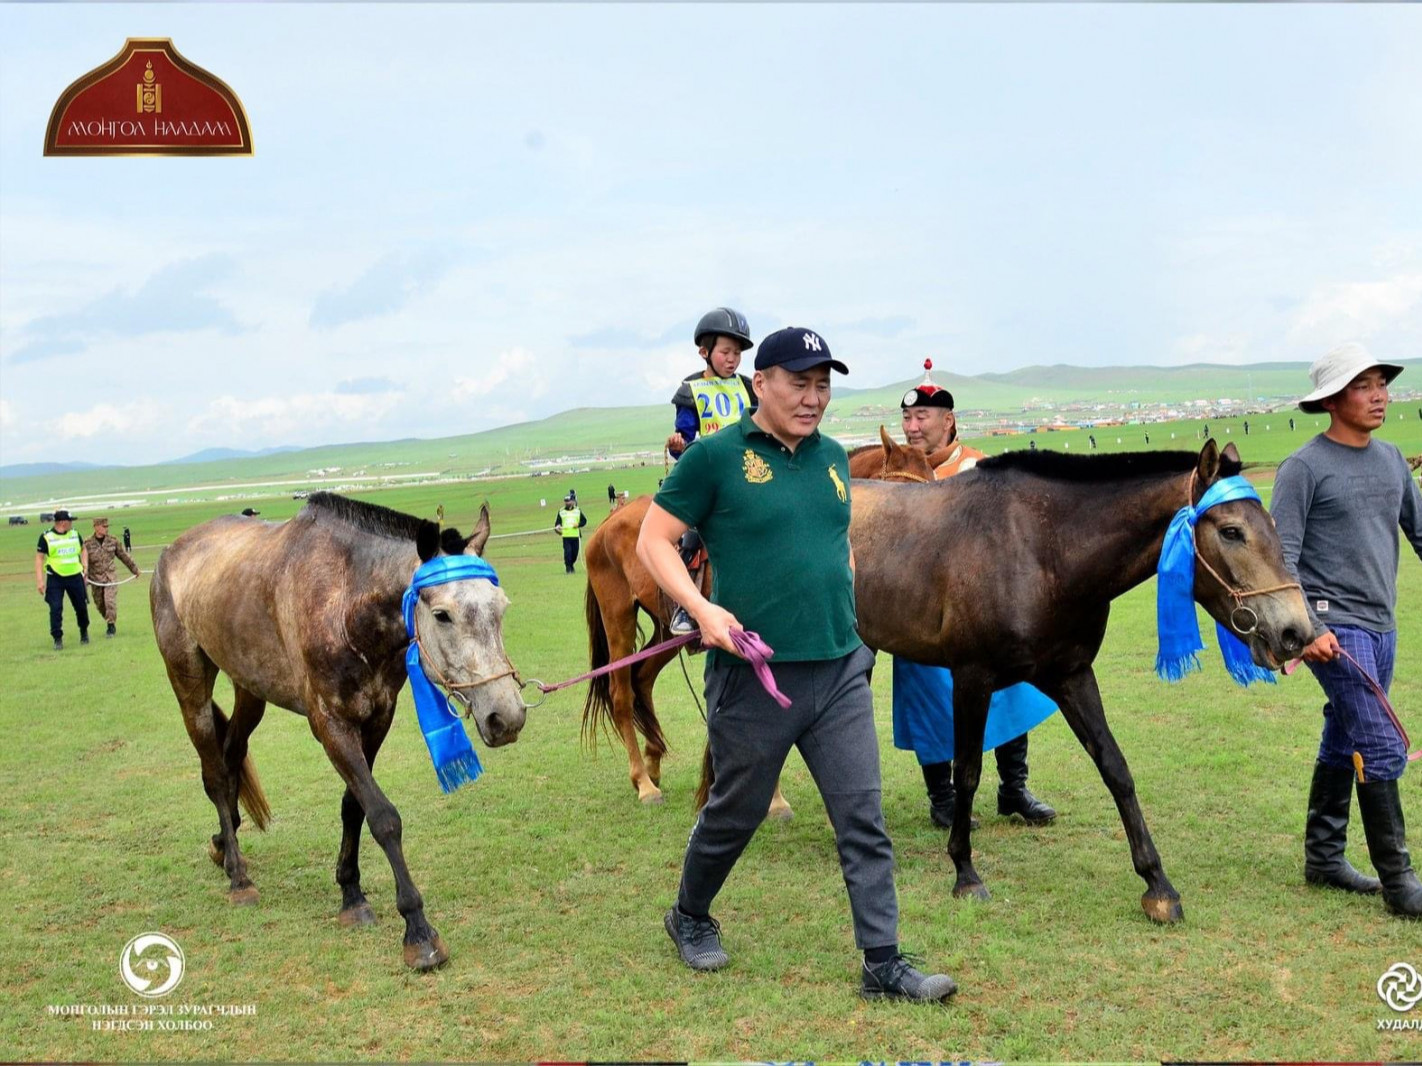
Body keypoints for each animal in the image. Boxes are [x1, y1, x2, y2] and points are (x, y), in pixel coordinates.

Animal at [151, 497, 528, 973]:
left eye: (502, 607)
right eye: (442, 615)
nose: (507, 716)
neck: (345, 601)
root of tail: (172, 551)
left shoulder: (377, 718)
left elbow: (354, 807)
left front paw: (351, 895)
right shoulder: (330, 724)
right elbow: (383, 817)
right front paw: (418, 931)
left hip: (249, 685)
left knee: (233, 752)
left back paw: (224, 843)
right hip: (188, 682)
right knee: (215, 773)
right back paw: (238, 877)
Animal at [577, 429, 932, 808]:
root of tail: (610, 522)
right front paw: (768, 797)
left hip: (665, 633)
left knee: (642, 680)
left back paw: (653, 761)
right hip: (618, 619)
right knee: (621, 693)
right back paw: (643, 782)